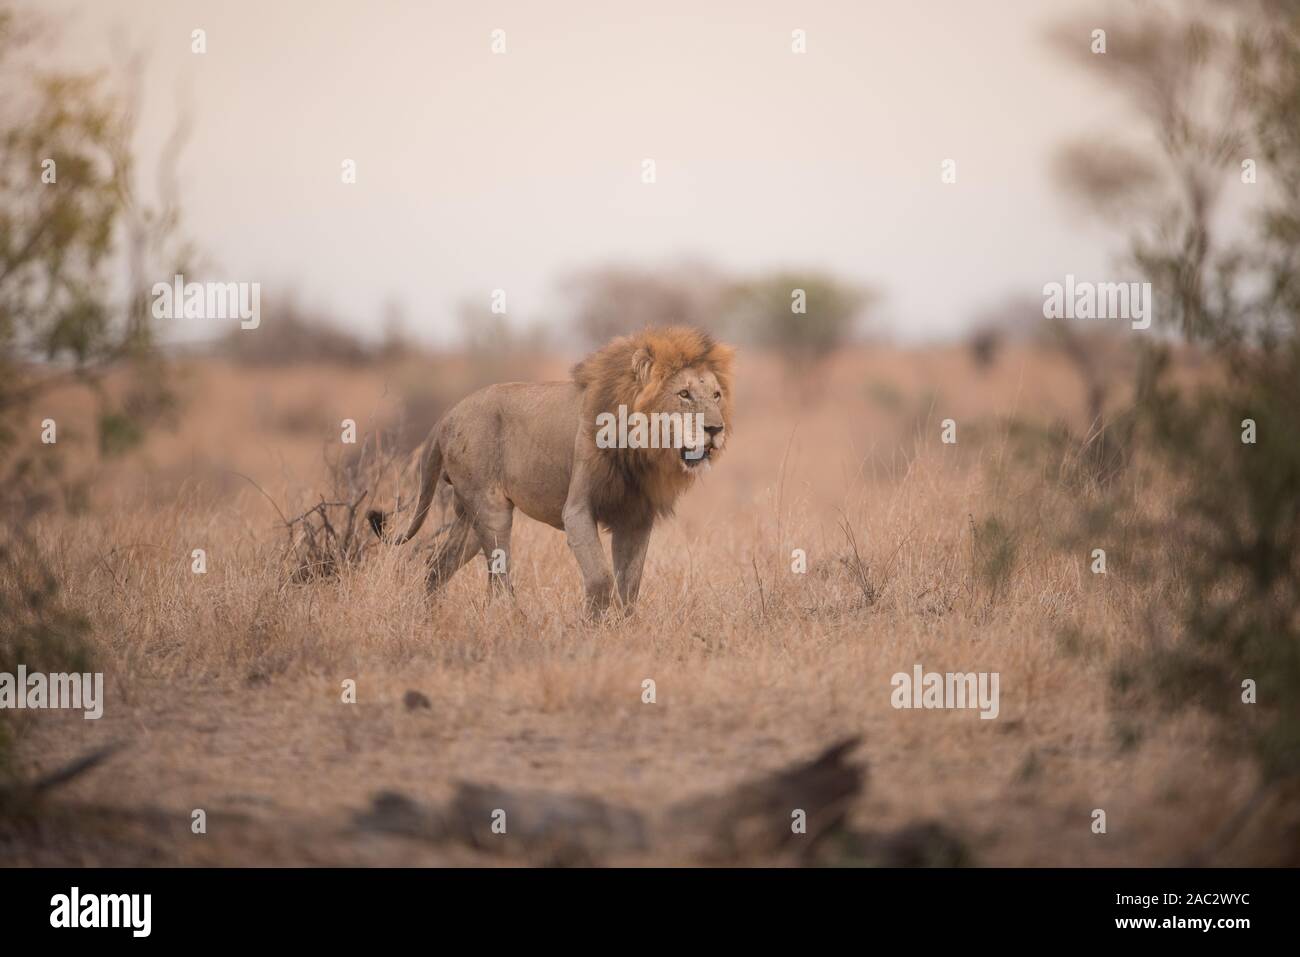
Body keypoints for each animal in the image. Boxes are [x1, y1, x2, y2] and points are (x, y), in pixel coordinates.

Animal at [369, 326, 734, 615]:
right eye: (684, 394)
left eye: (716, 395)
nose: (715, 429)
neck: (642, 450)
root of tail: (448, 415)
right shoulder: (577, 510)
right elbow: (601, 577)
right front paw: (593, 629)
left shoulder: (636, 517)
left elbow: (630, 586)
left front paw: (625, 629)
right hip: (491, 508)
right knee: (498, 581)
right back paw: (512, 622)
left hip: (468, 518)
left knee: (437, 566)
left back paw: (429, 619)